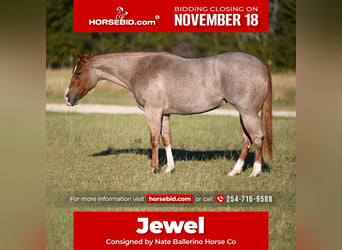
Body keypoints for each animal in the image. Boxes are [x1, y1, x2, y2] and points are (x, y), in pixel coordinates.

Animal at [64, 51, 272, 176]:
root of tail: (261, 65)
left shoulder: (152, 111)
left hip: (248, 114)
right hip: (243, 115)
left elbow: (154, 139)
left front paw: (153, 168)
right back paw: (234, 171)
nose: (67, 98)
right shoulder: (164, 114)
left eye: (79, 73)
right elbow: (166, 138)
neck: (140, 68)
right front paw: (169, 168)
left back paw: (255, 172)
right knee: (247, 140)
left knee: (257, 138)